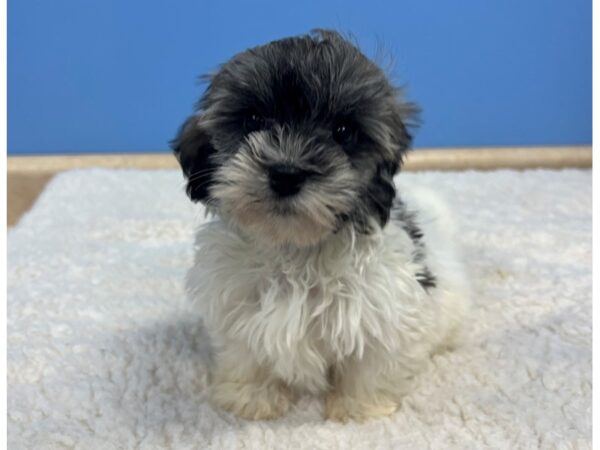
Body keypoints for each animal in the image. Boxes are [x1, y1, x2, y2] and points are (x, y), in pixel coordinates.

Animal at [170, 29, 468, 422]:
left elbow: (374, 360)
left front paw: (360, 407)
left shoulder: (383, 310)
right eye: (253, 120)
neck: (294, 249)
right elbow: (245, 352)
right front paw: (253, 397)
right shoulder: (234, 304)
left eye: (342, 131)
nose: (286, 173)